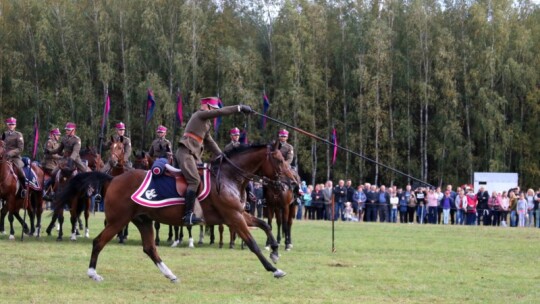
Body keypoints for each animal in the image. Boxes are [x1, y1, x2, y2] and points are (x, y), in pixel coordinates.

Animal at [54, 142, 296, 280]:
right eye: (278, 159)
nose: (293, 182)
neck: (229, 176)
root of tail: (112, 179)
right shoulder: (233, 217)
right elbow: (253, 244)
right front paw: (274, 268)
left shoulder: (238, 215)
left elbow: (264, 224)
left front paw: (275, 250)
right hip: (118, 221)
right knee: (99, 242)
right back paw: (92, 273)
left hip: (142, 220)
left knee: (149, 248)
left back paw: (170, 274)